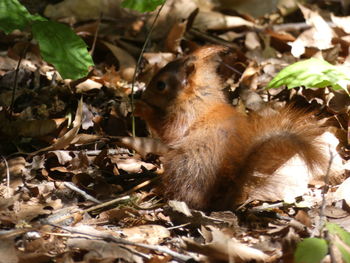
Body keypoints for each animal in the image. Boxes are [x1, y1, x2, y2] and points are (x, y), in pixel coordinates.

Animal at [135, 45, 330, 210]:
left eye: (161, 85)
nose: (143, 95)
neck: (195, 94)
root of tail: (215, 203)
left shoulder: (185, 113)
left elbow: (170, 132)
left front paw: (141, 108)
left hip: (183, 164)